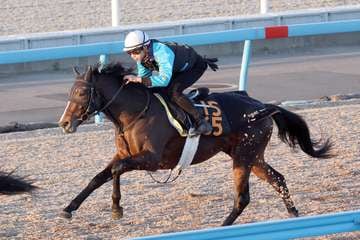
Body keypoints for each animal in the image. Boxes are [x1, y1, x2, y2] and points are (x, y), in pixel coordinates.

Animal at [58, 62, 332, 226]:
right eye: (69, 93)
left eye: (81, 93)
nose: (64, 123)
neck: (135, 113)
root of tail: (262, 106)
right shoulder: (123, 154)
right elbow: (98, 177)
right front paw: (69, 208)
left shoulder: (152, 159)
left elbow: (115, 171)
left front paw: (116, 207)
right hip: (251, 156)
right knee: (278, 179)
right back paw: (293, 215)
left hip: (244, 156)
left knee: (242, 198)